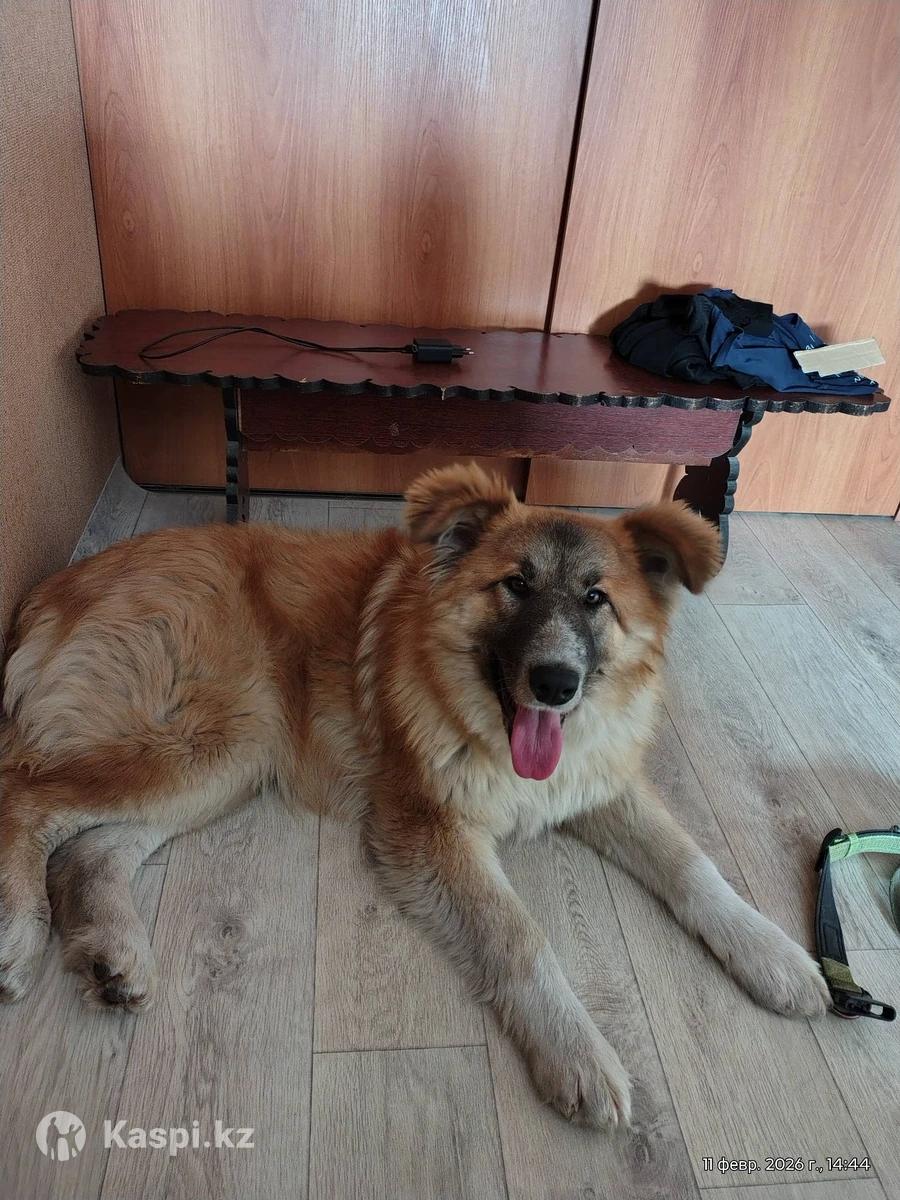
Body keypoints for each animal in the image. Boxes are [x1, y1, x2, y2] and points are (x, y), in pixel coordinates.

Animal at [0, 462, 828, 1127]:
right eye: (515, 585)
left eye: (597, 598)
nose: (555, 683)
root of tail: (62, 584)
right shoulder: (429, 828)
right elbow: (517, 935)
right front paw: (579, 1052)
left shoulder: (598, 783)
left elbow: (693, 865)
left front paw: (772, 953)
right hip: (207, 739)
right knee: (25, 795)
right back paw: (19, 933)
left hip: (226, 762)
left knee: (93, 850)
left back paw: (113, 953)